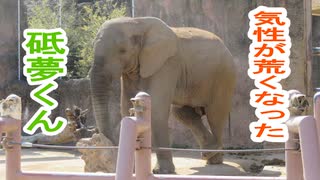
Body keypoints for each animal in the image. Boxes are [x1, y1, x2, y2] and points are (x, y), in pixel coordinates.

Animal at [89, 16, 236, 174]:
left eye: (122, 51)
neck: (137, 22)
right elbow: (127, 108)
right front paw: (134, 170)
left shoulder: (167, 64)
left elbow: (156, 110)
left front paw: (162, 171)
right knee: (182, 113)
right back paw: (209, 152)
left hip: (224, 76)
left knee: (215, 114)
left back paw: (214, 157)